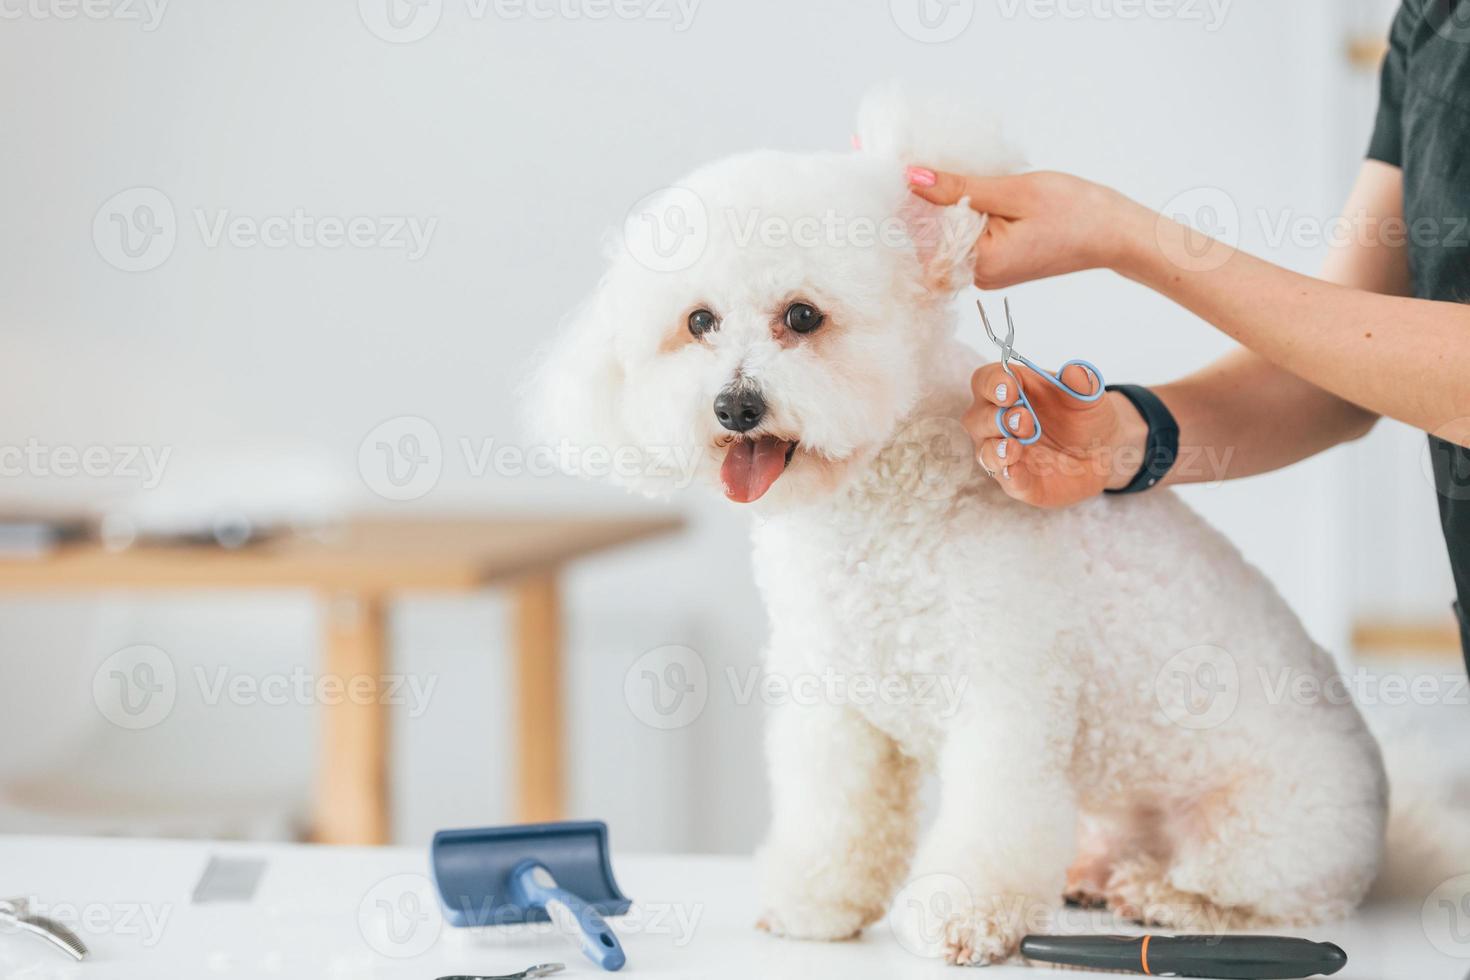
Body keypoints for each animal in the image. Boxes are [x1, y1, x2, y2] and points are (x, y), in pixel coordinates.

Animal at [529, 91, 1387, 963]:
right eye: (699, 321)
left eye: (802, 316)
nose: (735, 405)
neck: (876, 514)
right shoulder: (836, 707)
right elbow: (833, 816)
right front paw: (815, 903)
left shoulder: (1006, 699)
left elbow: (990, 823)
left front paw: (963, 916)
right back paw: (1095, 875)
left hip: (1269, 831)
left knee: (1268, 898)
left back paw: (1167, 898)